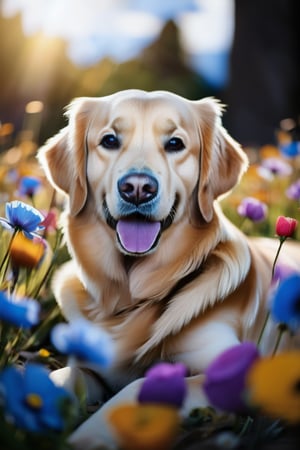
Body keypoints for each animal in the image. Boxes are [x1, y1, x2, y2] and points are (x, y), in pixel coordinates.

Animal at [38, 89, 300, 448]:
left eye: (175, 143)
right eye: (109, 140)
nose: (137, 187)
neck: (135, 298)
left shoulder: (233, 374)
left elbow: (140, 388)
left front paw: (87, 437)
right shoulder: (90, 364)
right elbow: (59, 376)